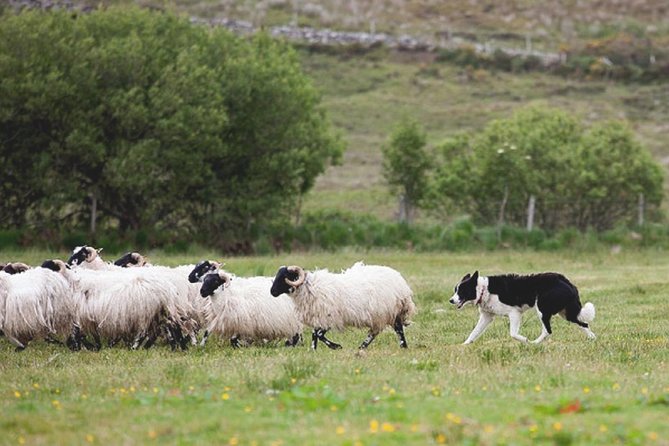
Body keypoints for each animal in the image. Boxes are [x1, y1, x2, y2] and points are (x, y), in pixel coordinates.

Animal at [270, 262, 416, 350]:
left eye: (285, 277)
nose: (272, 292)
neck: (309, 288)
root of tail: (401, 282)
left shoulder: (330, 318)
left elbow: (318, 334)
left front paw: (336, 346)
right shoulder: (319, 317)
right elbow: (314, 335)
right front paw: (313, 350)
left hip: (385, 312)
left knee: (392, 330)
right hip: (387, 314)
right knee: (389, 330)